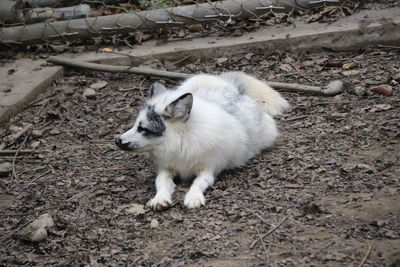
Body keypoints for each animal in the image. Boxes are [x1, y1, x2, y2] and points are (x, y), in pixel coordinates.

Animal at [114, 72, 290, 210]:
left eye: (143, 129)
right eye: (135, 124)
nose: (117, 141)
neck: (181, 142)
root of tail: (228, 86)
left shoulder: (209, 168)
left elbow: (198, 183)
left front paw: (193, 197)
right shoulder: (166, 168)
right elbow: (161, 183)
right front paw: (160, 198)